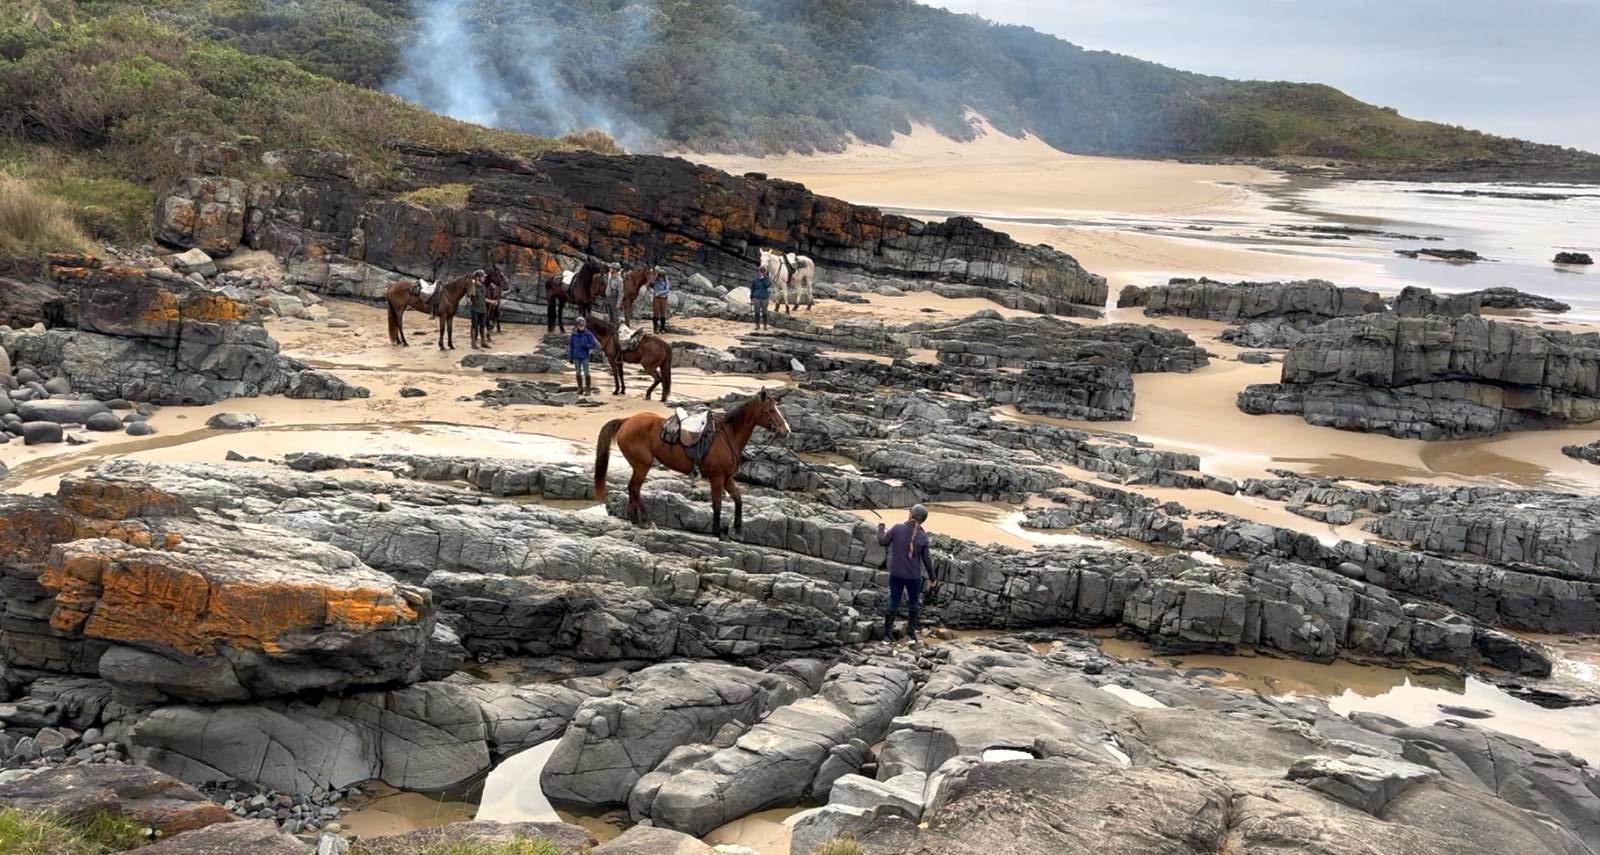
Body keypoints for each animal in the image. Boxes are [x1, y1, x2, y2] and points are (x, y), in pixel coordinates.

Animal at [594, 389, 790, 538]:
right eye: (770, 410)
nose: (786, 430)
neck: (727, 436)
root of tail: (626, 421)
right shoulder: (717, 477)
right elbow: (717, 503)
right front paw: (717, 532)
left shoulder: (727, 478)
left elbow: (738, 499)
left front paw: (738, 529)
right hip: (643, 466)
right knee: (635, 488)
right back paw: (646, 521)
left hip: (639, 466)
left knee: (633, 489)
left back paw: (636, 519)